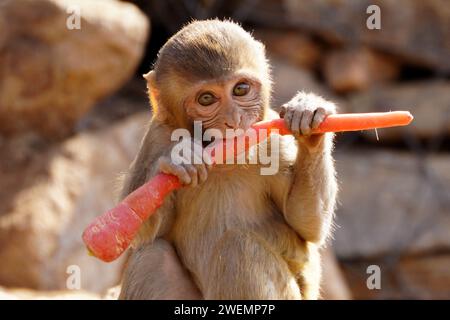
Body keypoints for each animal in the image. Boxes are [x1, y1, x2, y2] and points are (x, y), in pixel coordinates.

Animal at [119, 20, 338, 300]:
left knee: (238, 247)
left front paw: (310, 122)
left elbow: (306, 224)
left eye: (241, 89)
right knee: (151, 257)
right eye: (206, 98)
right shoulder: (157, 137)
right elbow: (136, 230)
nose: (234, 121)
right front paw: (179, 159)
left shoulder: (275, 143)